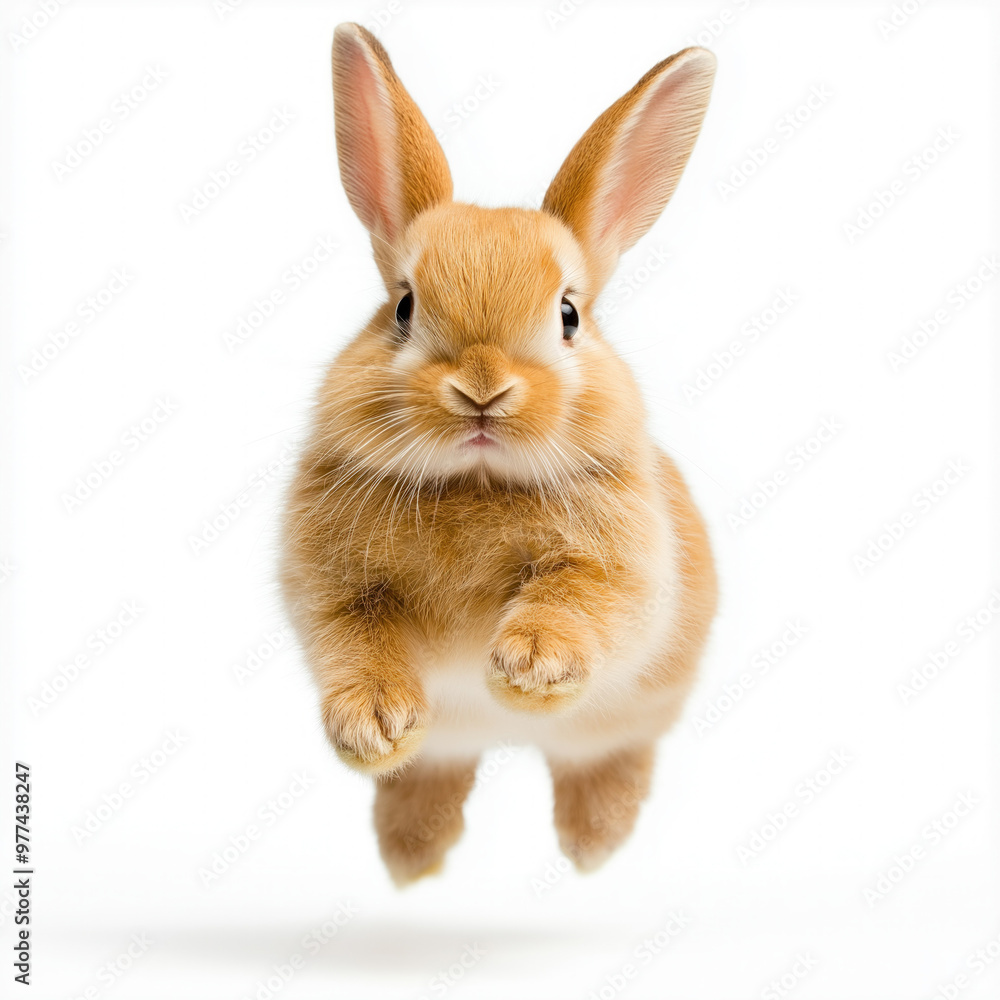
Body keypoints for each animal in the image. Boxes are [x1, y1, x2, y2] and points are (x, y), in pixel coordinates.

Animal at [281, 22, 718, 886]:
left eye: (569, 315)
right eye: (403, 307)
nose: (481, 389)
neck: (474, 483)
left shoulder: (620, 575)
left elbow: (576, 601)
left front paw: (529, 667)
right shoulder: (336, 591)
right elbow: (356, 641)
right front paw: (374, 726)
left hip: (631, 718)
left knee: (607, 762)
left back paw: (591, 846)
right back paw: (412, 856)